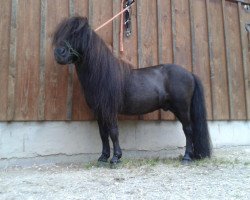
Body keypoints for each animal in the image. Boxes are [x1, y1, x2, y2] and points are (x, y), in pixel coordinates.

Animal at [52, 16, 211, 164]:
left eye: (76, 33)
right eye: (60, 34)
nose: (59, 53)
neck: (102, 74)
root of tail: (190, 74)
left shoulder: (110, 110)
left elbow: (113, 132)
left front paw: (116, 158)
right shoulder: (99, 112)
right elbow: (103, 134)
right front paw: (103, 157)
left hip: (182, 109)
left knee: (188, 130)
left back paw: (187, 157)